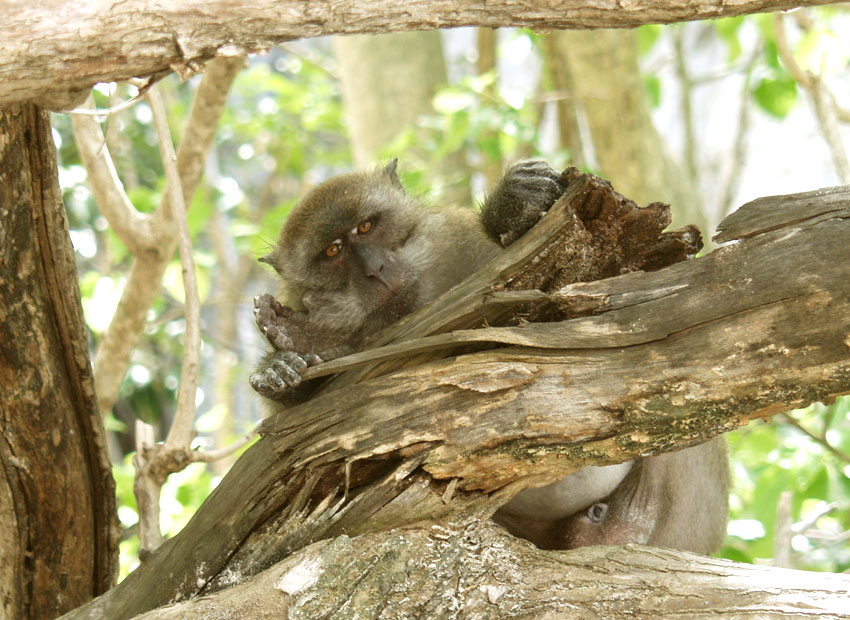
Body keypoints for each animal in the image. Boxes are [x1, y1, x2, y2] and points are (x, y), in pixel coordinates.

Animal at [250, 159, 729, 554]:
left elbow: (603, 293)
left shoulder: (460, 238)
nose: (374, 269)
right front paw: (287, 359)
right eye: (333, 252)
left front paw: (510, 207)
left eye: (366, 228)